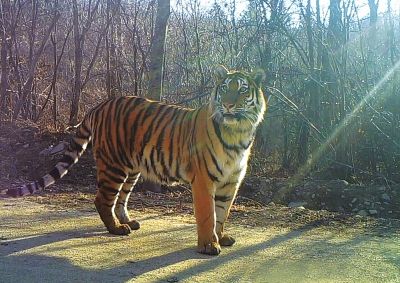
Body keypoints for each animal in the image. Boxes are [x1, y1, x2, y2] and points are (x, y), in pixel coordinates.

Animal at [6, 65, 268, 256]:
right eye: (224, 89)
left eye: (242, 90)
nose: (228, 104)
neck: (238, 133)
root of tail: (99, 106)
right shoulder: (204, 181)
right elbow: (208, 215)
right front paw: (208, 245)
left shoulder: (230, 182)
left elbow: (222, 213)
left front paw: (222, 237)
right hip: (113, 166)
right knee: (102, 199)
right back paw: (116, 229)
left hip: (131, 169)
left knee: (120, 199)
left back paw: (128, 222)